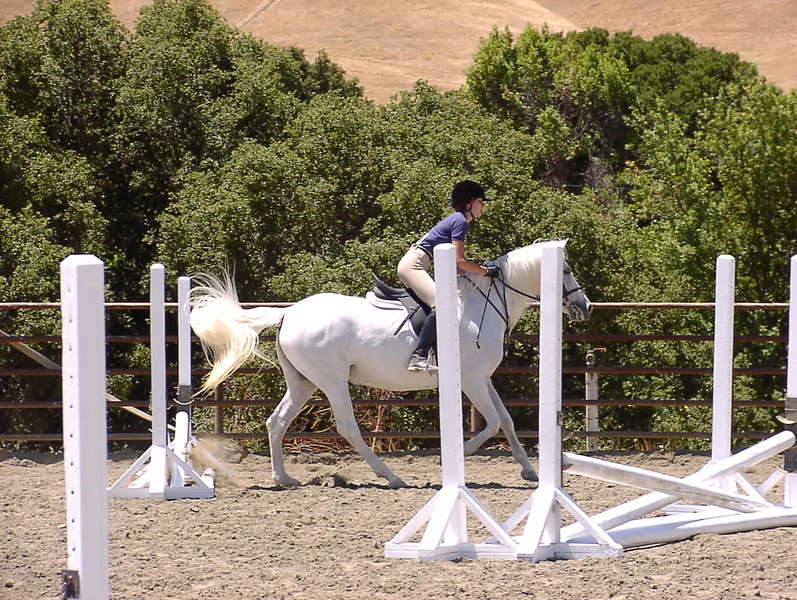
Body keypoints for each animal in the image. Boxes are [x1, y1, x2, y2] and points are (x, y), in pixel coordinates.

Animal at [189, 240, 592, 488]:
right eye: (567, 270)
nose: (584, 306)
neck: (485, 304)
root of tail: (289, 313)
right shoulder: (472, 380)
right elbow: (492, 423)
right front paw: (450, 459)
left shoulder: (483, 379)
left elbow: (506, 421)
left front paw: (529, 472)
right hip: (332, 380)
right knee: (348, 427)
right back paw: (392, 477)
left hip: (303, 382)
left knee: (276, 422)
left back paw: (283, 478)